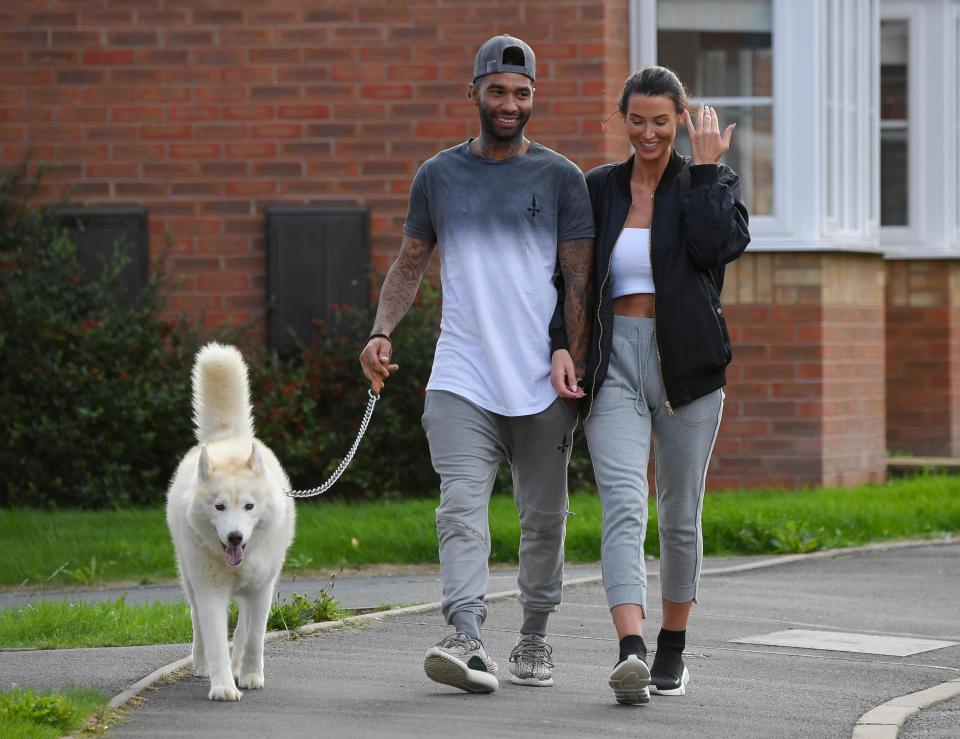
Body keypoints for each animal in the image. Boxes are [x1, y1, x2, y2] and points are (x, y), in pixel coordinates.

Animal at [165, 344, 294, 704]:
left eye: (249, 506)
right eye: (219, 507)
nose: (235, 537)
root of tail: (227, 435)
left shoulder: (262, 591)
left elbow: (253, 637)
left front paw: (249, 675)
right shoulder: (210, 592)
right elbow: (215, 640)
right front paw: (222, 685)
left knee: (244, 626)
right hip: (190, 580)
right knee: (196, 621)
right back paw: (201, 663)